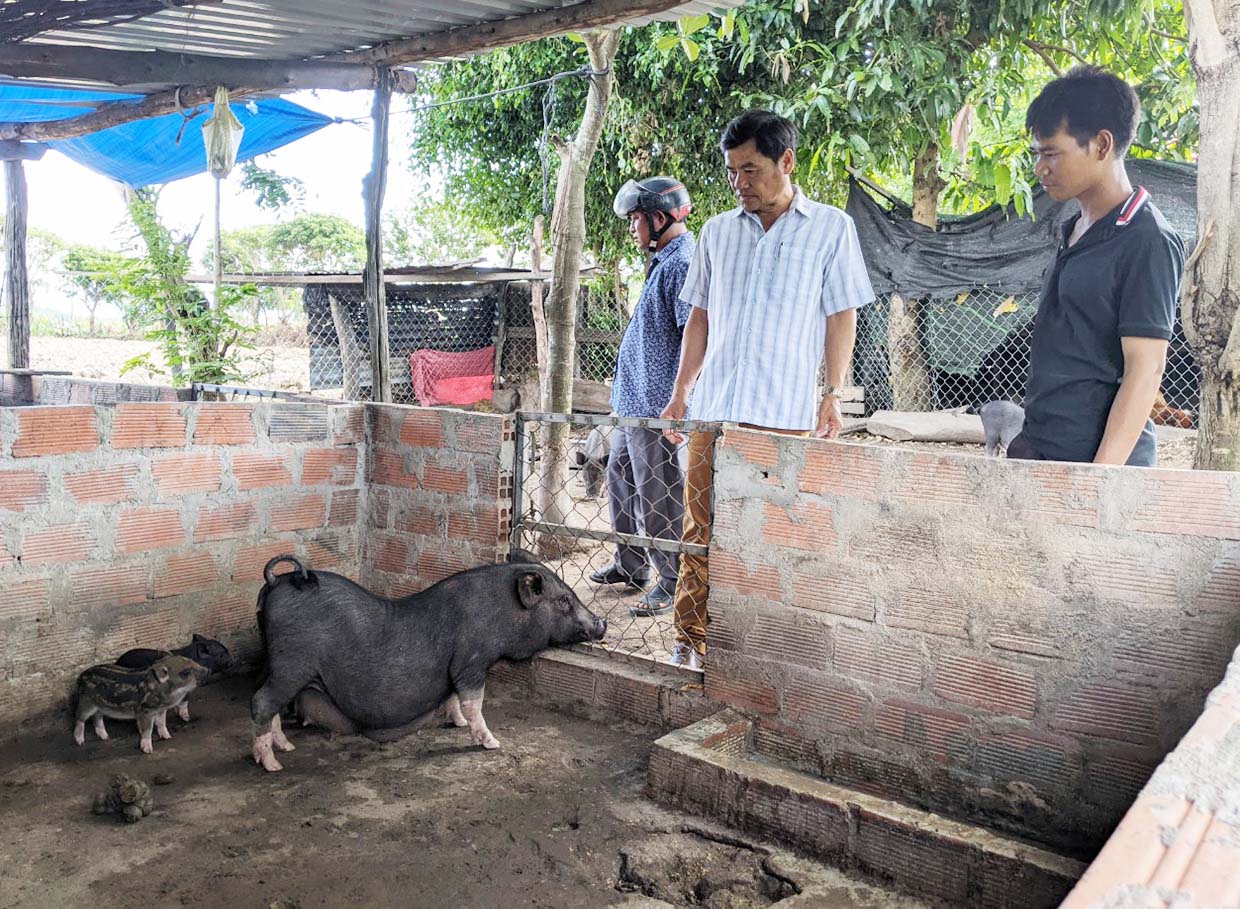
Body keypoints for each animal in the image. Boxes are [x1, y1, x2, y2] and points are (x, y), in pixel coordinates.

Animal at [73, 654, 209, 753]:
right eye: (185, 672)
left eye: (191, 660)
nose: (207, 669)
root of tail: (81, 676)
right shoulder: (145, 711)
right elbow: (147, 729)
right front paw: (148, 750)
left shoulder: (161, 709)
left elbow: (161, 723)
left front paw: (167, 737)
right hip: (86, 702)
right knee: (80, 717)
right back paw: (80, 741)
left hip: (101, 706)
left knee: (97, 717)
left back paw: (105, 737)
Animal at [250, 550, 605, 768]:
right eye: (564, 600)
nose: (601, 622)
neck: (500, 611)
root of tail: (277, 581)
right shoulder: (471, 661)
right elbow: (473, 704)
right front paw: (493, 743)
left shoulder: (454, 670)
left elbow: (452, 698)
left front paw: (456, 723)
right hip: (292, 664)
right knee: (261, 702)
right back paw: (273, 764)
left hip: (275, 663)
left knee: (267, 701)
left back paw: (286, 747)